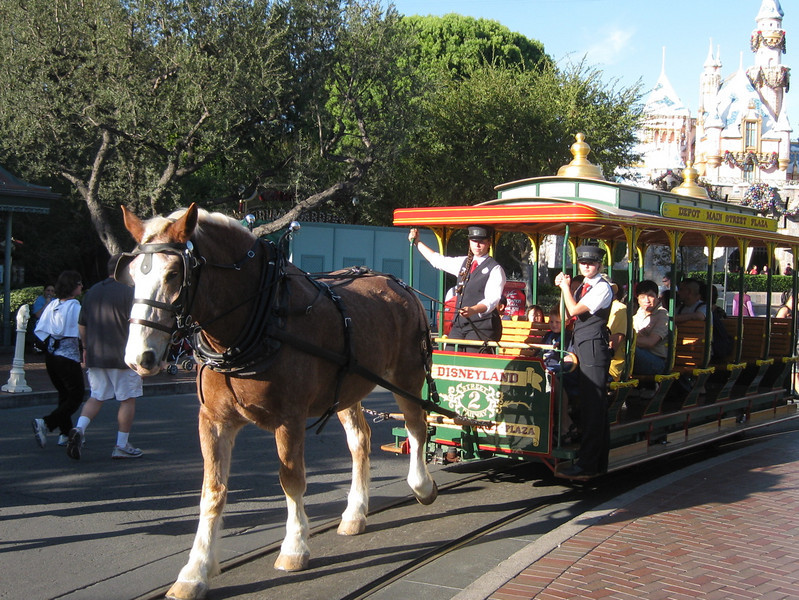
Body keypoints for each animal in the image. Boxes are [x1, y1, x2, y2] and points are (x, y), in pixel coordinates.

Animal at [118, 203, 438, 600]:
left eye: (175, 273)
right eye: (133, 273)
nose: (139, 358)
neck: (258, 322)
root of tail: (400, 286)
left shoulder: (290, 418)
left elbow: (292, 480)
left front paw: (294, 548)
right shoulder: (213, 421)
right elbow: (212, 492)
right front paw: (195, 571)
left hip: (406, 376)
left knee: (416, 427)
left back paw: (421, 486)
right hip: (348, 387)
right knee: (360, 441)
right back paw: (354, 513)